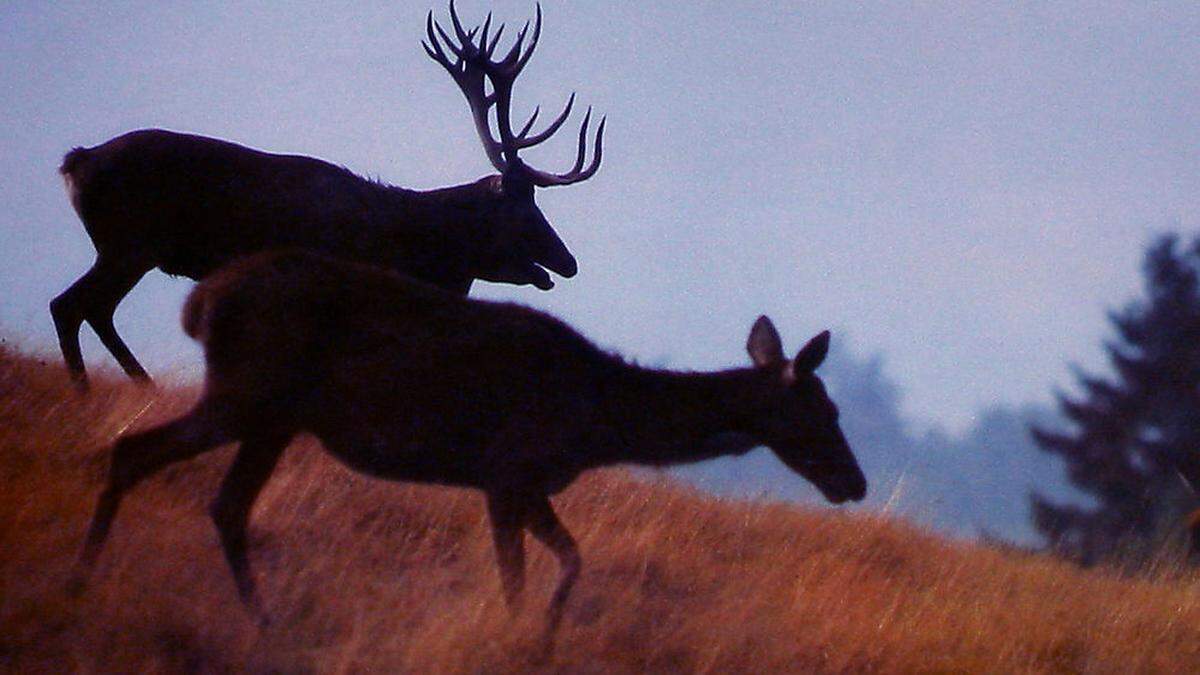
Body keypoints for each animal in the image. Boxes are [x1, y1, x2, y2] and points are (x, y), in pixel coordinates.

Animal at [52, 0, 604, 386]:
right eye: (522, 209)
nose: (569, 262)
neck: (410, 249)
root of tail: (77, 161)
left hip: (126, 248)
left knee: (90, 309)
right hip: (129, 243)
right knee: (71, 305)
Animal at [72, 251, 864, 648]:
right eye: (824, 409)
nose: (853, 483)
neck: (599, 417)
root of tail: (200, 300)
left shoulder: (526, 480)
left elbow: (572, 560)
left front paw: (544, 640)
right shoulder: (507, 469)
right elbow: (518, 574)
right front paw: (519, 635)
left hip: (273, 416)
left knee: (223, 502)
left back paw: (260, 622)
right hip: (248, 393)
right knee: (137, 451)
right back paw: (85, 580)